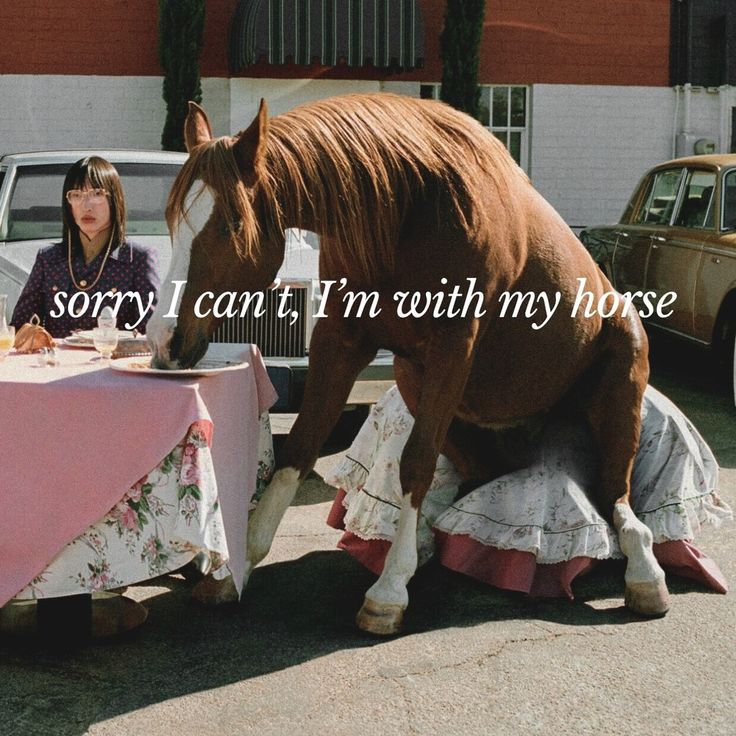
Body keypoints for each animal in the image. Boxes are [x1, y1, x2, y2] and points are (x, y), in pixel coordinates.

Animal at [147, 92, 668, 632]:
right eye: (171, 218)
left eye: (231, 223)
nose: (165, 341)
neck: (409, 207)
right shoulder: (340, 339)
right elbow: (300, 449)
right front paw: (237, 568)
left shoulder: (452, 347)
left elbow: (415, 463)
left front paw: (390, 589)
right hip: (420, 388)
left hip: (619, 389)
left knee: (617, 498)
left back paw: (645, 573)